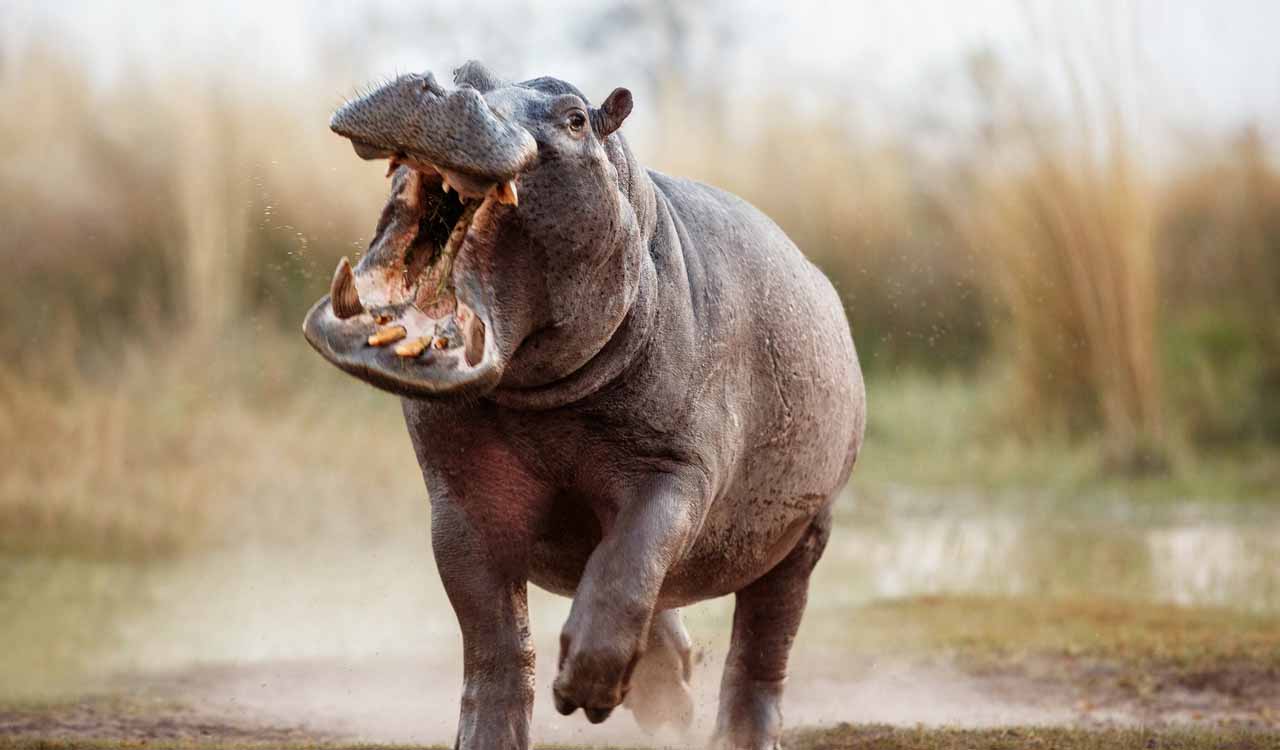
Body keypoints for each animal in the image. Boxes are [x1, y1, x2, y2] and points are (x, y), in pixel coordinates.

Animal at [302, 61, 865, 750]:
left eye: (574, 117)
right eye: (467, 71)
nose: (437, 88)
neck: (540, 394)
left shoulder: (675, 469)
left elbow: (630, 561)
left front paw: (587, 691)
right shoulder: (459, 498)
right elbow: (494, 639)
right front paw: (493, 736)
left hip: (808, 529)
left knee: (764, 641)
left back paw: (734, 732)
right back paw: (668, 698)